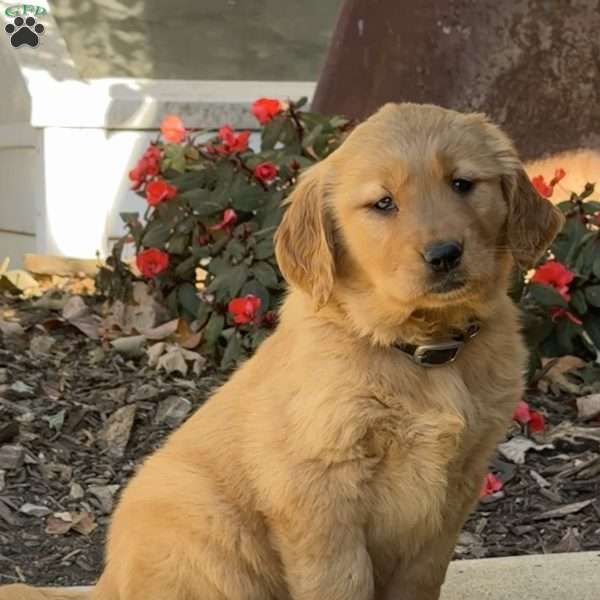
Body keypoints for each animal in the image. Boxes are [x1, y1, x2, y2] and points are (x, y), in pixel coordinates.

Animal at [0, 104, 564, 600]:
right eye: (383, 204)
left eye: (463, 184)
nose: (445, 254)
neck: (418, 349)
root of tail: (107, 583)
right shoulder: (318, 492)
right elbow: (341, 584)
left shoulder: (454, 491)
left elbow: (420, 580)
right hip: (209, 532)